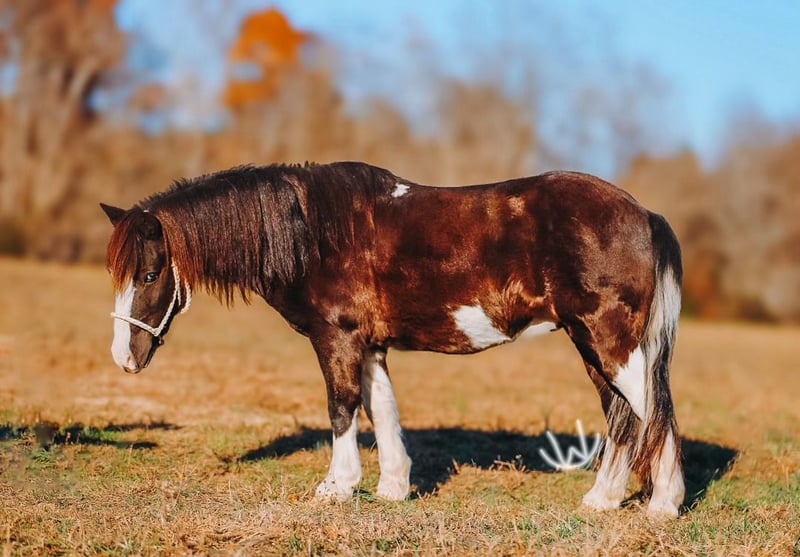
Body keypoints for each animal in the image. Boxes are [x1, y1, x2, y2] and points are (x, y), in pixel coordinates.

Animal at [101, 161, 685, 516]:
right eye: (117, 274)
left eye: (149, 275)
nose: (123, 358)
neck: (313, 232)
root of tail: (644, 214)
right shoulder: (370, 345)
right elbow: (381, 407)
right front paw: (393, 488)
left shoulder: (336, 339)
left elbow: (342, 407)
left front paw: (336, 487)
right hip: (595, 346)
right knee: (631, 415)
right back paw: (619, 501)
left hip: (608, 341)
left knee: (648, 409)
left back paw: (648, 502)